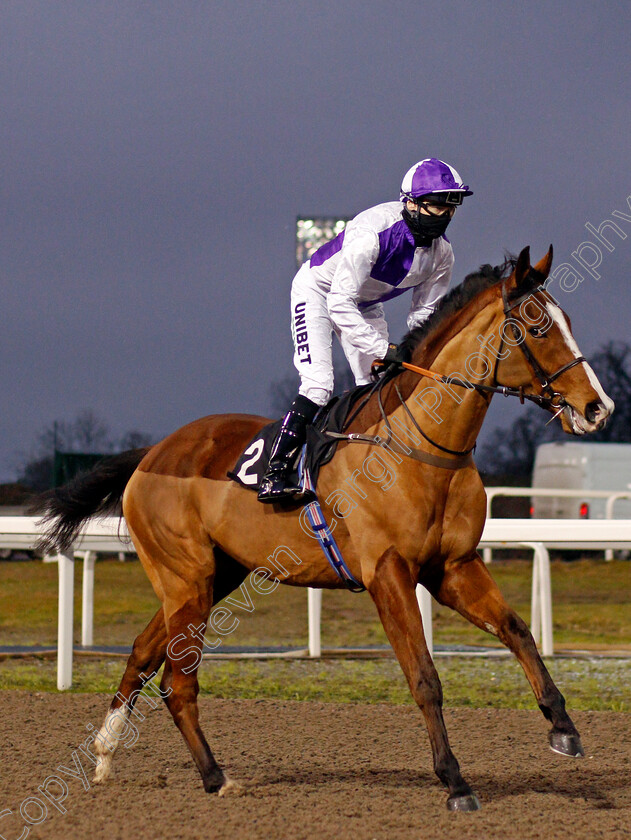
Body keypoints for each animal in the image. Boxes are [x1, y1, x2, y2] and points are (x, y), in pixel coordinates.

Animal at [37, 246, 616, 812]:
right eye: (538, 328)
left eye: (567, 322)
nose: (598, 407)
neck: (421, 444)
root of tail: (151, 454)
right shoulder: (389, 574)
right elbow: (424, 676)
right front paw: (454, 781)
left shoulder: (452, 567)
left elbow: (518, 631)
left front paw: (563, 726)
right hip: (187, 579)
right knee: (179, 681)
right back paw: (215, 777)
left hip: (212, 577)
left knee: (143, 651)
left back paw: (106, 754)